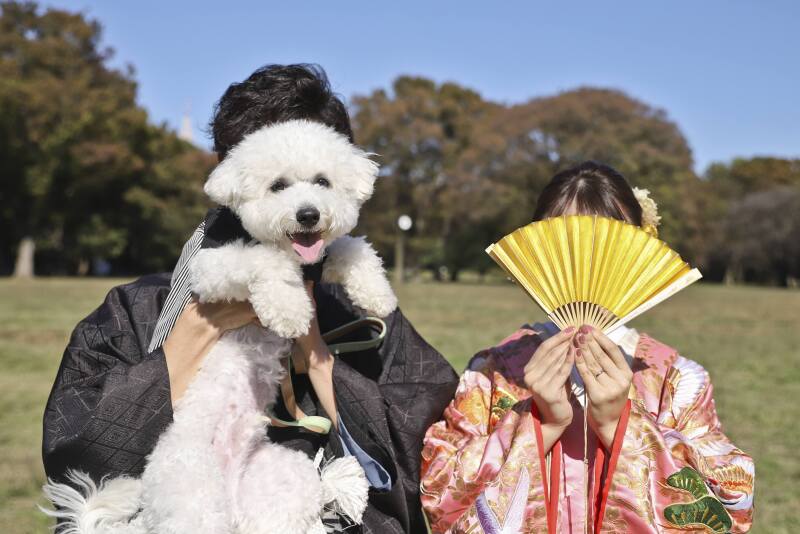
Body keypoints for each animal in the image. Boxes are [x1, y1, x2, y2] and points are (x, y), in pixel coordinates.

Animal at [42, 121, 398, 534]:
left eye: (323, 181)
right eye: (277, 185)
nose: (308, 214)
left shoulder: (319, 258)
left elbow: (352, 247)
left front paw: (378, 294)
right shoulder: (209, 269)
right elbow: (265, 260)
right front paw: (289, 307)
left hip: (281, 479)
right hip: (193, 495)